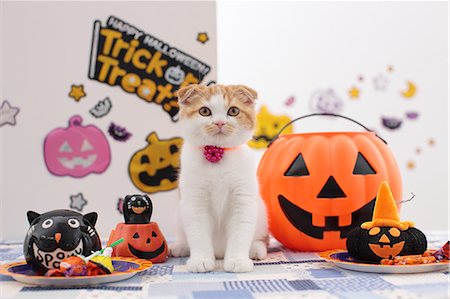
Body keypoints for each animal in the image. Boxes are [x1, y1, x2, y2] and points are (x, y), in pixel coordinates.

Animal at [170, 84, 268, 274]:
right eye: (205, 111)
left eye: (233, 111)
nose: (220, 122)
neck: (218, 157)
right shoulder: (194, 200)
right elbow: (198, 232)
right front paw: (200, 260)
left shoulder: (243, 199)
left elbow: (240, 232)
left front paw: (237, 260)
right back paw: (180, 247)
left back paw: (256, 249)